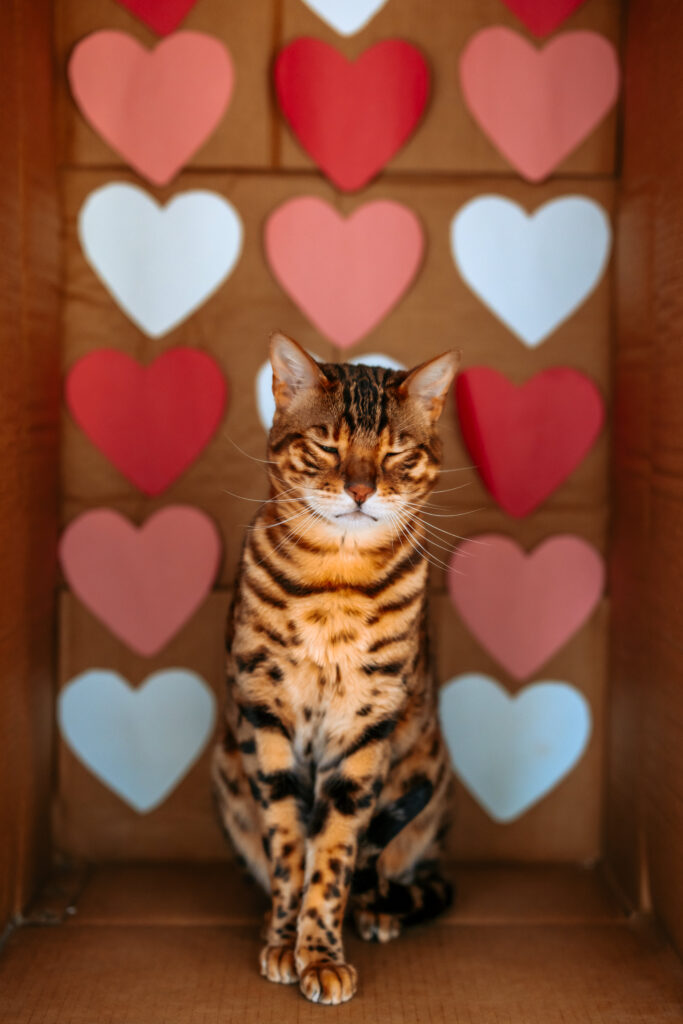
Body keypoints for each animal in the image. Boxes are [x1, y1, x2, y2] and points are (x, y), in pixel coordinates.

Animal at [211, 331, 458, 1003]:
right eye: (327, 445)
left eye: (396, 453)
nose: (361, 489)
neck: (335, 581)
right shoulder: (264, 715)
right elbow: (288, 846)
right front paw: (284, 941)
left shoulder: (365, 728)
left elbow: (335, 856)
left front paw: (319, 952)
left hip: (426, 776)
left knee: (387, 873)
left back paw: (377, 912)